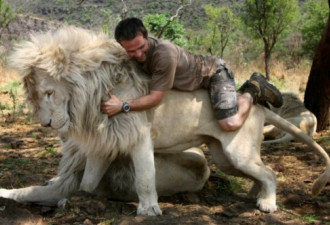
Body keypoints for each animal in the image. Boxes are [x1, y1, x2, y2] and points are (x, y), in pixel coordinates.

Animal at [0, 26, 330, 216]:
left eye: (49, 92)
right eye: (34, 97)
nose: (45, 124)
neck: (93, 92)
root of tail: (258, 109)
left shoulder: (137, 134)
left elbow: (145, 176)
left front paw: (148, 209)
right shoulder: (105, 142)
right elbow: (89, 181)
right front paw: (79, 198)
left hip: (237, 147)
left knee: (271, 173)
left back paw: (267, 202)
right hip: (225, 157)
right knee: (259, 173)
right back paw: (254, 193)